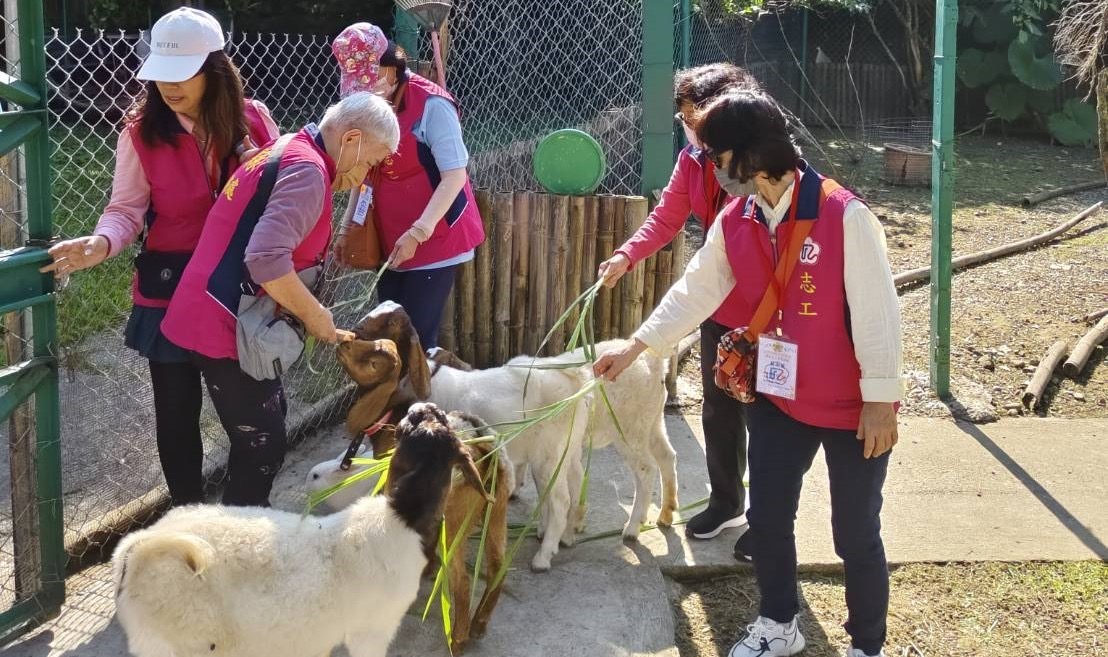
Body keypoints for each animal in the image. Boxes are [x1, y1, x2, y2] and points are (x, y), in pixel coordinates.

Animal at [111, 403, 485, 655]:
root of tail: (138, 548)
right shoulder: (372, 628)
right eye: (413, 423)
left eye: (437, 420)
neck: (400, 519)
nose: (422, 406)